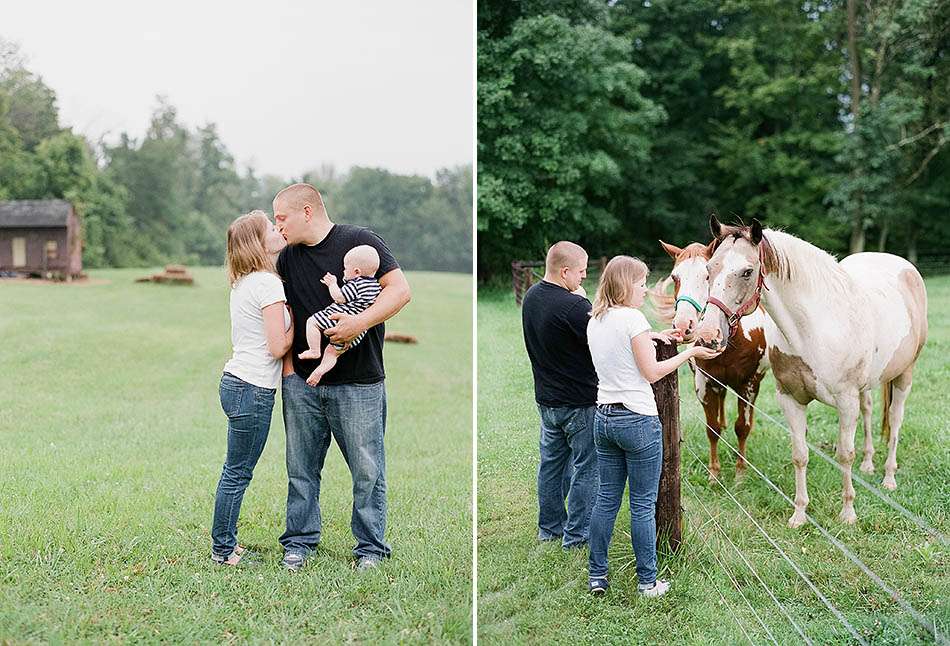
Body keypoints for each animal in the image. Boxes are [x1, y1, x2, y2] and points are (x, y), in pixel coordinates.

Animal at [656, 240, 772, 484]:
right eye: (675, 277)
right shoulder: (705, 383)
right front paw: (714, 473)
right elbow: (713, 429)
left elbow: (743, 427)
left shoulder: (749, 384)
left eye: (707, 276)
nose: (683, 325)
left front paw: (740, 474)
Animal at [696, 215, 924, 528]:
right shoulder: (790, 400)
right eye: (709, 269)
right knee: (869, 411)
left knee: (896, 420)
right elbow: (800, 455)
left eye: (747, 271)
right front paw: (799, 514)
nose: (709, 335)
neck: (814, 328)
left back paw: (889, 477)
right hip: (868, 386)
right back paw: (868, 464)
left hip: (904, 376)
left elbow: (845, 455)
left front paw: (848, 513)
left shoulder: (846, 401)